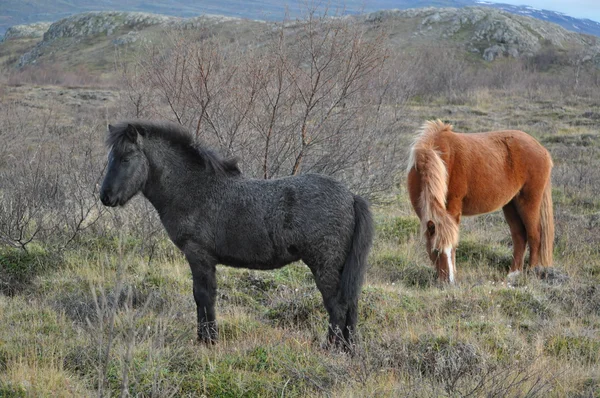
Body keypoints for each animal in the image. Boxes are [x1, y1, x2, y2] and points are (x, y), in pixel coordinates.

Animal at [100, 121, 372, 348]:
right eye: (110, 157)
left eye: (125, 158)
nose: (105, 197)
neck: (194, 188)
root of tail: (351, 197)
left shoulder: (198, 256)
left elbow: (203, 297)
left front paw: (208, 341)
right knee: (351, 305)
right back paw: (348, 349)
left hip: (325, 265)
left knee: (337, 306)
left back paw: (331, 348)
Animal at [406, 119, 556, 282]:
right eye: (435, 250)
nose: (448, 281)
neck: (439, 158)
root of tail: (542, 149)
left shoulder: (453, 209)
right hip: (511, 205)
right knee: (519, 236)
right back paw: (513, 274)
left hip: (529, 202)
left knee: (534, 235)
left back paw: (531, 272)